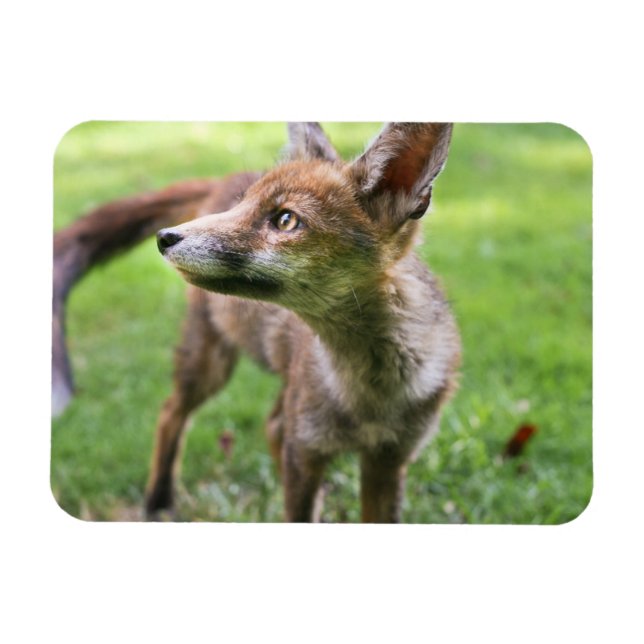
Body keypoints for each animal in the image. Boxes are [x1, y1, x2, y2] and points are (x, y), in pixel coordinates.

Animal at [53, 122, 461, 523]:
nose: (164, 237)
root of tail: (224, 179)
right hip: (210, 363)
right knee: (171, 412)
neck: (370, 397)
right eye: (243, 206)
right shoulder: (305, 450)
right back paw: (158, 501)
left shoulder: (389, 461)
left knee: (270, 423)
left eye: (286, 220)